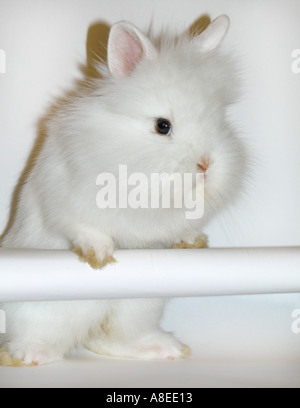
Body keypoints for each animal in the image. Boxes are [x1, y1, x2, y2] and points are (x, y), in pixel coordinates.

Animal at [0, 15, 246, 366]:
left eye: (219, 121)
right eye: (162, 126)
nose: (206, 165)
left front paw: (193, 241)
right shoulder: (63, 199)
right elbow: (80, 226)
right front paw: (100, 254)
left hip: (139, 306)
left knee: (111, 340)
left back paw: (165, 349)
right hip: (38, 313)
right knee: (37, 336)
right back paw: (28, 356)